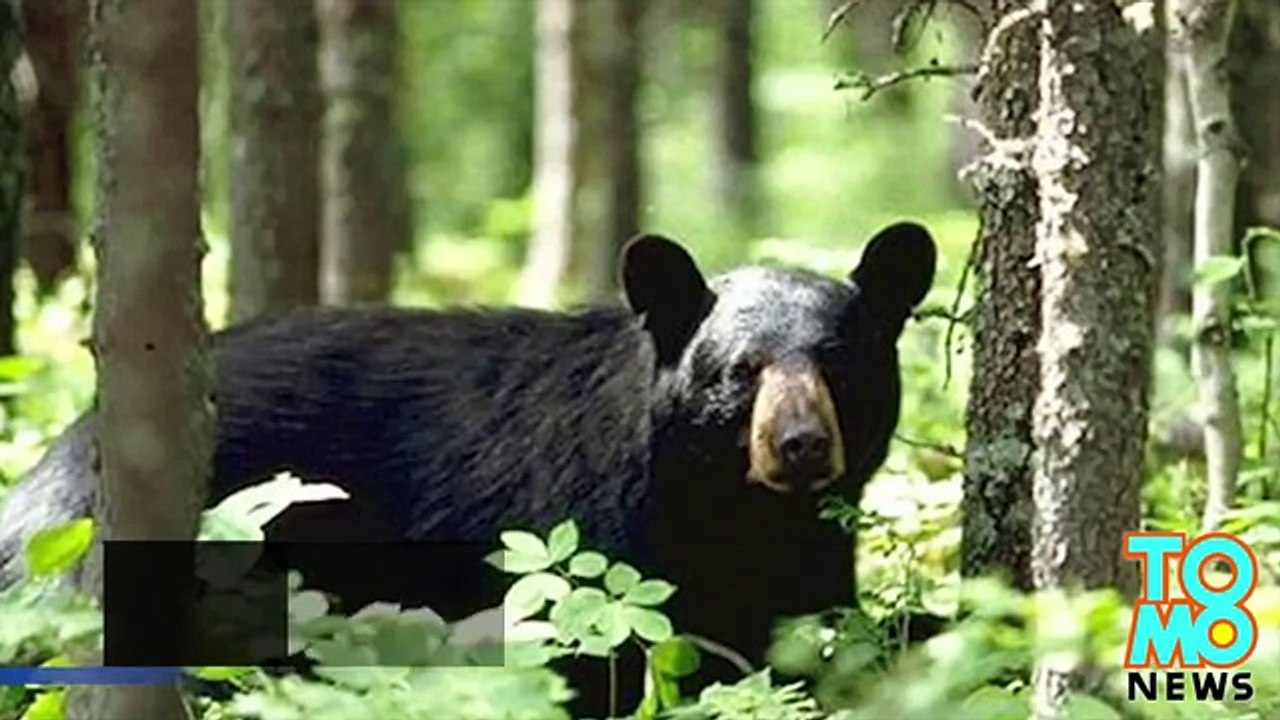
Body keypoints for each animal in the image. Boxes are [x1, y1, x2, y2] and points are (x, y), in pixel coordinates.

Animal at [0, 221, 937, 714]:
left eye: (840, 362)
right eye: (742, 370)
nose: (801, 444)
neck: (729, 511)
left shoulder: (802, 559)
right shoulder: (597, 531)